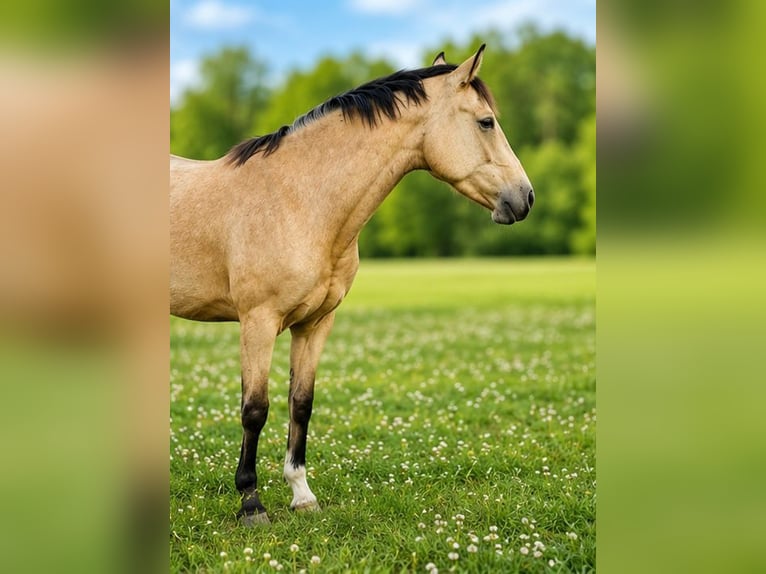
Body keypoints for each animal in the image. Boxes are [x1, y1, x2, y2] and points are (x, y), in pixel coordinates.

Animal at [170, 45, 534, 525]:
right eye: (486, 121)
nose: (525, 197)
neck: (300, 201)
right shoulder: (258, 322)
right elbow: (255, 410)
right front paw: (251, 502)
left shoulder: (315, 323)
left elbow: (300, 403)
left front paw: (302, 494)